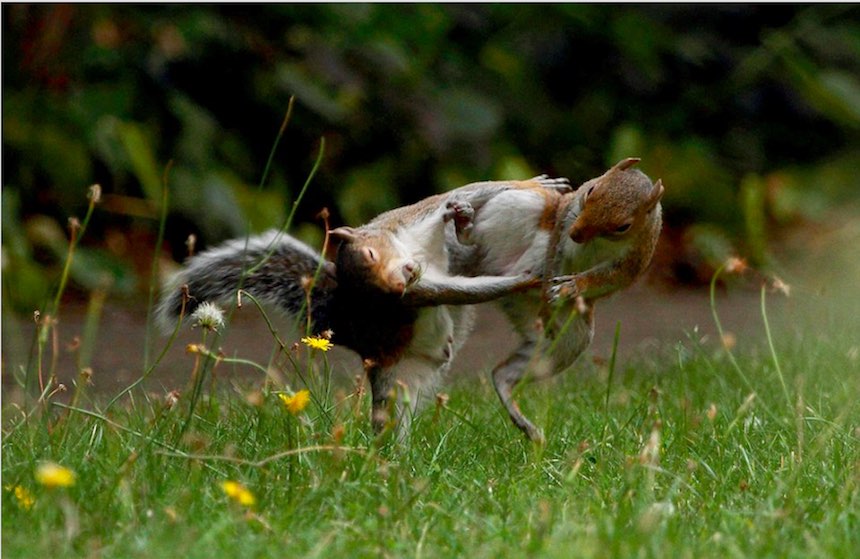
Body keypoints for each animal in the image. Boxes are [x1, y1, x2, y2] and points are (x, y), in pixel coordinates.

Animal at [159, 177, 572, 436]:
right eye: (379, 299)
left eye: (372, 253)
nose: (399, 283)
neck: (413, 252)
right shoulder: (424, 288)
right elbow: (461, 290)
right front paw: (527, 277)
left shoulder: (420, 215)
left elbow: (468, 194)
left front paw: (541, 184)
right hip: (392, 380)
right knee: (388, 421)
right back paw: (388, 464)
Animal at [446, 160, 668, 444]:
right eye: (590, 189)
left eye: (623, 226)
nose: (577, 234)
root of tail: (503, 275)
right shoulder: (564, 223)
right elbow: (555, 252)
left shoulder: (632, 261)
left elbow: (604, 279)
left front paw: (571, 286)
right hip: (521, 206)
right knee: (478, 239)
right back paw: (465, 226)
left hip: (567, 339)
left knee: (503, 374)